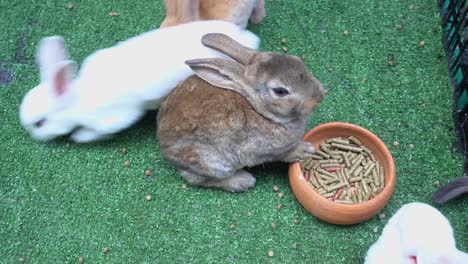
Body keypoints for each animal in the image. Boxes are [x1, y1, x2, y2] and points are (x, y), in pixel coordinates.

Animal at [19, 20, 260, 142]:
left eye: (40, 123)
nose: (35, 138)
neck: (76, 100)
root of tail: (246, 38)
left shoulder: (111, 118)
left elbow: (96, 132)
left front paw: (79, 136)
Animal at [157, 32, 326, 192]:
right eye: (280, 91)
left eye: (297, 60)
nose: (319, 96)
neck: (260, 111)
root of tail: (163, 146)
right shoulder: (265, 151)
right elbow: (282, 154)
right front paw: (305, 150)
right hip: (211, 162)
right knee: (197, 179)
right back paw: (243, 181)